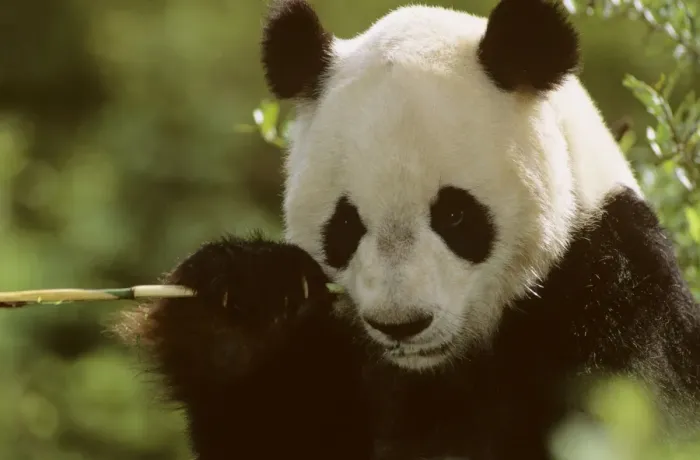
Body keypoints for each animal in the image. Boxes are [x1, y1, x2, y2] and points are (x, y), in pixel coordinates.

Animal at [114, 0, 700, 459]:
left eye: (456, 216)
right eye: (345, 224)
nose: (401, 324)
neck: (438, 369)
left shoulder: (613, 290)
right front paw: (243, 305)